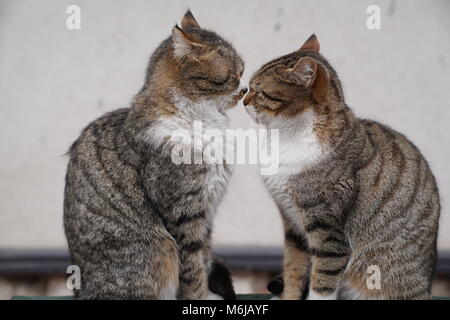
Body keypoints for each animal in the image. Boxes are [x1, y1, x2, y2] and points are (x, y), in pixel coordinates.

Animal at [63, 10, 246, 300]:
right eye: (233, 76)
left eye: (243, 71)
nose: (246, 89)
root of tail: (82, 293)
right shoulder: (184, 213)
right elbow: (193, 269)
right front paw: (199, 298)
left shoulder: (207, 214)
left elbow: (205, 259)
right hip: (157, 250)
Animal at [243, 35, 440, 300]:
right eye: (249, 88)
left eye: (259, 91)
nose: (243, 99)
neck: (285, 136)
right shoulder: (292, 225)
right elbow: (294, 270)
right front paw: (289, 296)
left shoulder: (328, 231)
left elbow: (322, 280)